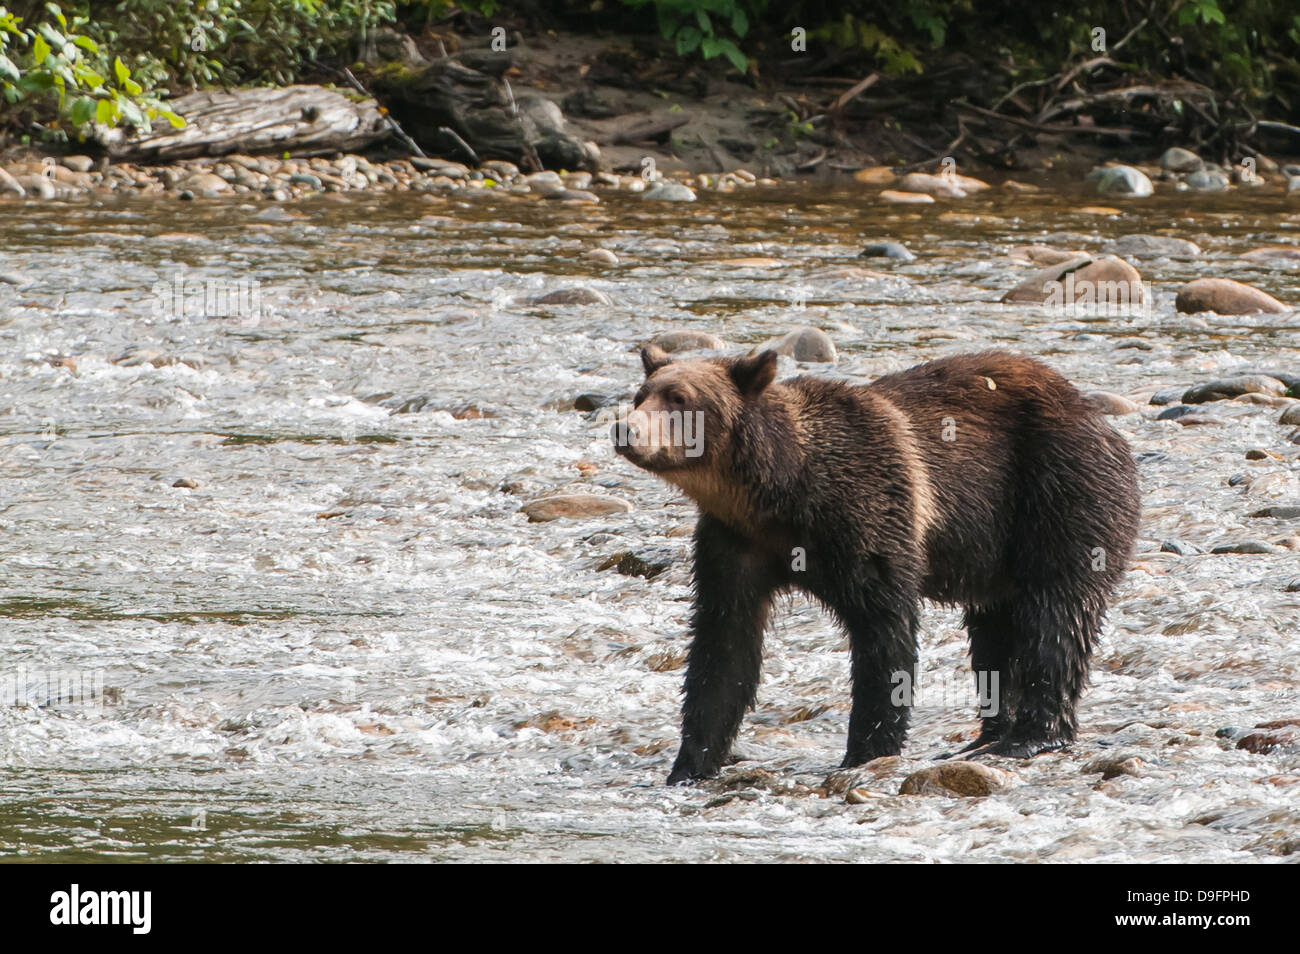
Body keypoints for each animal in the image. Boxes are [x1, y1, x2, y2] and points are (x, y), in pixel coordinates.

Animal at [608, 348, 1138, 790]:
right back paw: (987, 734)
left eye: (680, 398)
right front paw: (689, 765)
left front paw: (866, 751)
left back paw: (1031, 735)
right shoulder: (732, 546)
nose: (624, 428)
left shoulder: (867, 513)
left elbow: (884, 635)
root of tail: (1092, 410)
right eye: (641, 394)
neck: (777, 492)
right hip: (997, 554)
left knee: (1055, 616)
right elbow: (723, 649)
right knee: (994, 633)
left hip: (1059, 494)